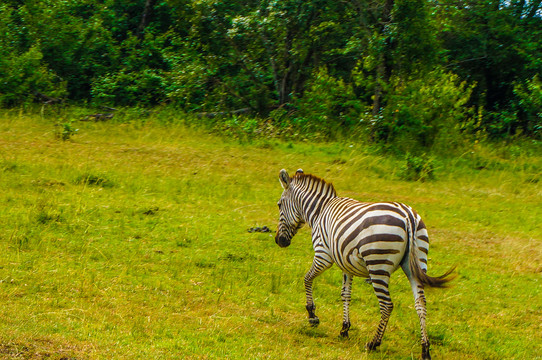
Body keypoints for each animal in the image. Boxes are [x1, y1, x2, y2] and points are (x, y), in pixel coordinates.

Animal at [274, 169, 456, 360]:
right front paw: (344, 329)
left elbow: (307, 279)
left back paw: (373, 343)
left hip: (377, 265)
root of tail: (408, 217)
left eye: (279, 205)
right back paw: (425, 349)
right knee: (420, 304)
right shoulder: (346, 263)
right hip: (416, 264)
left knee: (387, 305)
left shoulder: (323, 255)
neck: (318, 212)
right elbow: (345, 294)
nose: (279, 241)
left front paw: (312, 315)